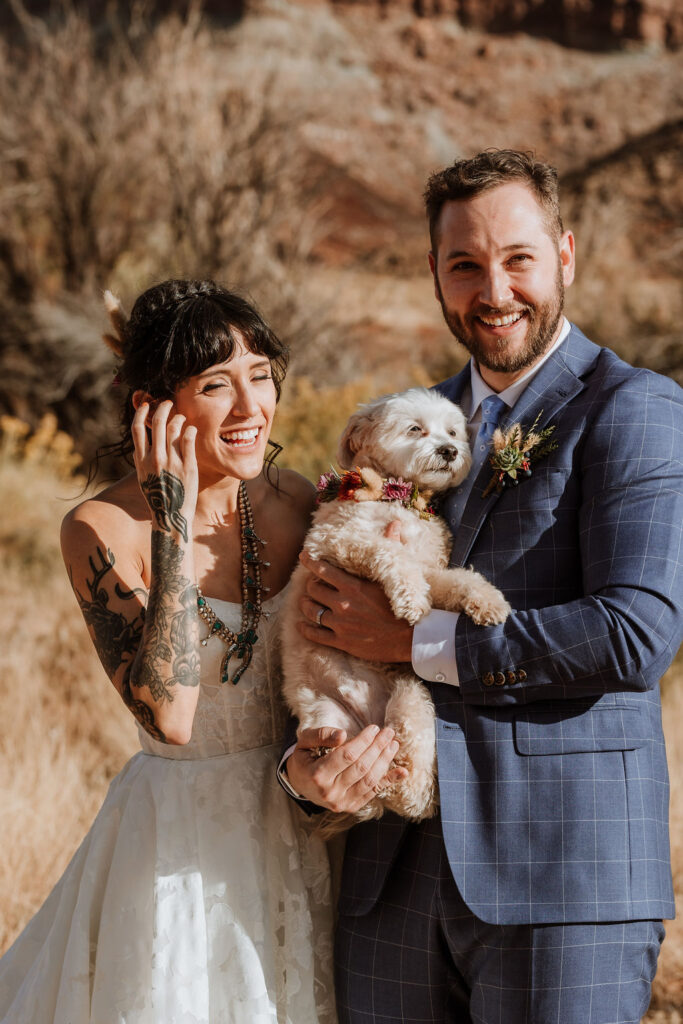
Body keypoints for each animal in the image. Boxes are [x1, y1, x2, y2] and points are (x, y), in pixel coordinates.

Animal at [280, 387, 509, 827]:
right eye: (415, 428)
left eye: (452, 431)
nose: (449, 450)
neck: (399, 500)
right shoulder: (337, 543)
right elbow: (391, 554)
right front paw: (410, 597)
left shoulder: (432, 567)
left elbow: (458, 579)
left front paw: (488, 600)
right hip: (325, 719)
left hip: (411, 701)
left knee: (408, 790)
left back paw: (407, 785)